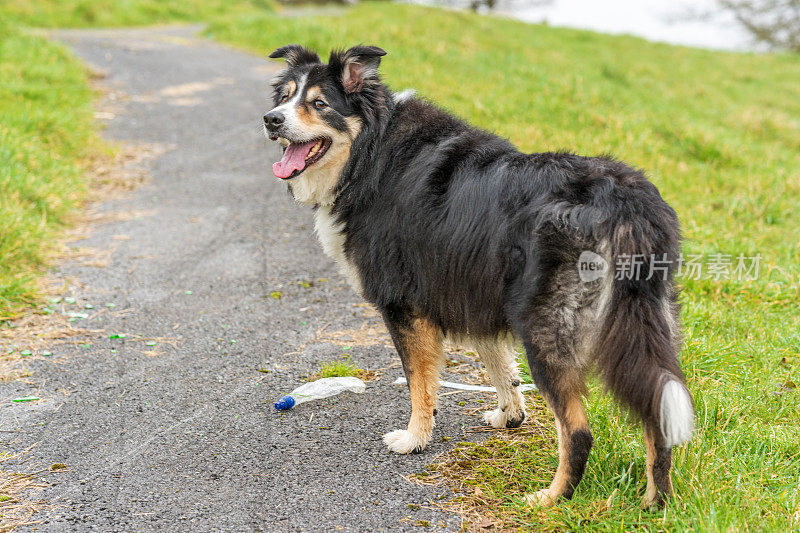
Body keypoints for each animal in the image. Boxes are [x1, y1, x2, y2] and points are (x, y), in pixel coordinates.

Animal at [262, 44, 692, 508]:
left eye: (319, 104)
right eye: (284, 97)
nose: (271, 120)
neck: (369, 150)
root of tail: (626, 204)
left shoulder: (404, 305)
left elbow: (420, 383)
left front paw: (414, 439)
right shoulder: (473, 290)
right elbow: (498, 363)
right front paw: (510, 415)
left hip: (545, 328)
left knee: (578, 431)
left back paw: (551, 499)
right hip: (645, 323)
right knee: (656, 409)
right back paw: (656, 504)